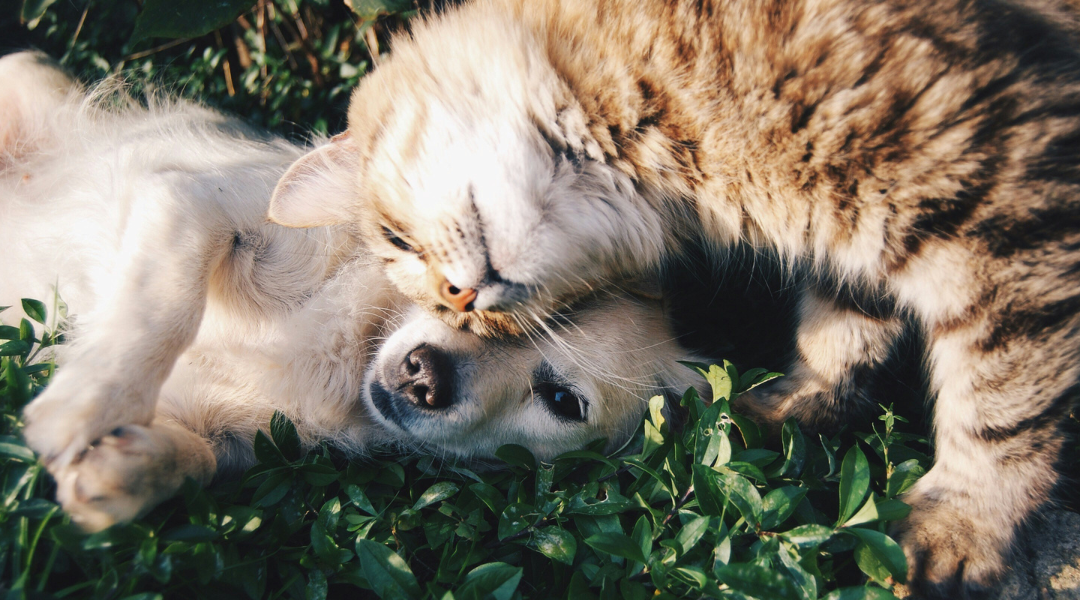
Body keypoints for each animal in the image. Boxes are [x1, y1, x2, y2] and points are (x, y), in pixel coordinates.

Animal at [267, 0, 1080, 595]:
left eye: (395, 240)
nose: (461, 300)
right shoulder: (860, 241)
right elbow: (841, 334)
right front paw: (789, 408)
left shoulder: (1003, 208)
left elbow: (1001, 406)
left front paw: (963, 527)